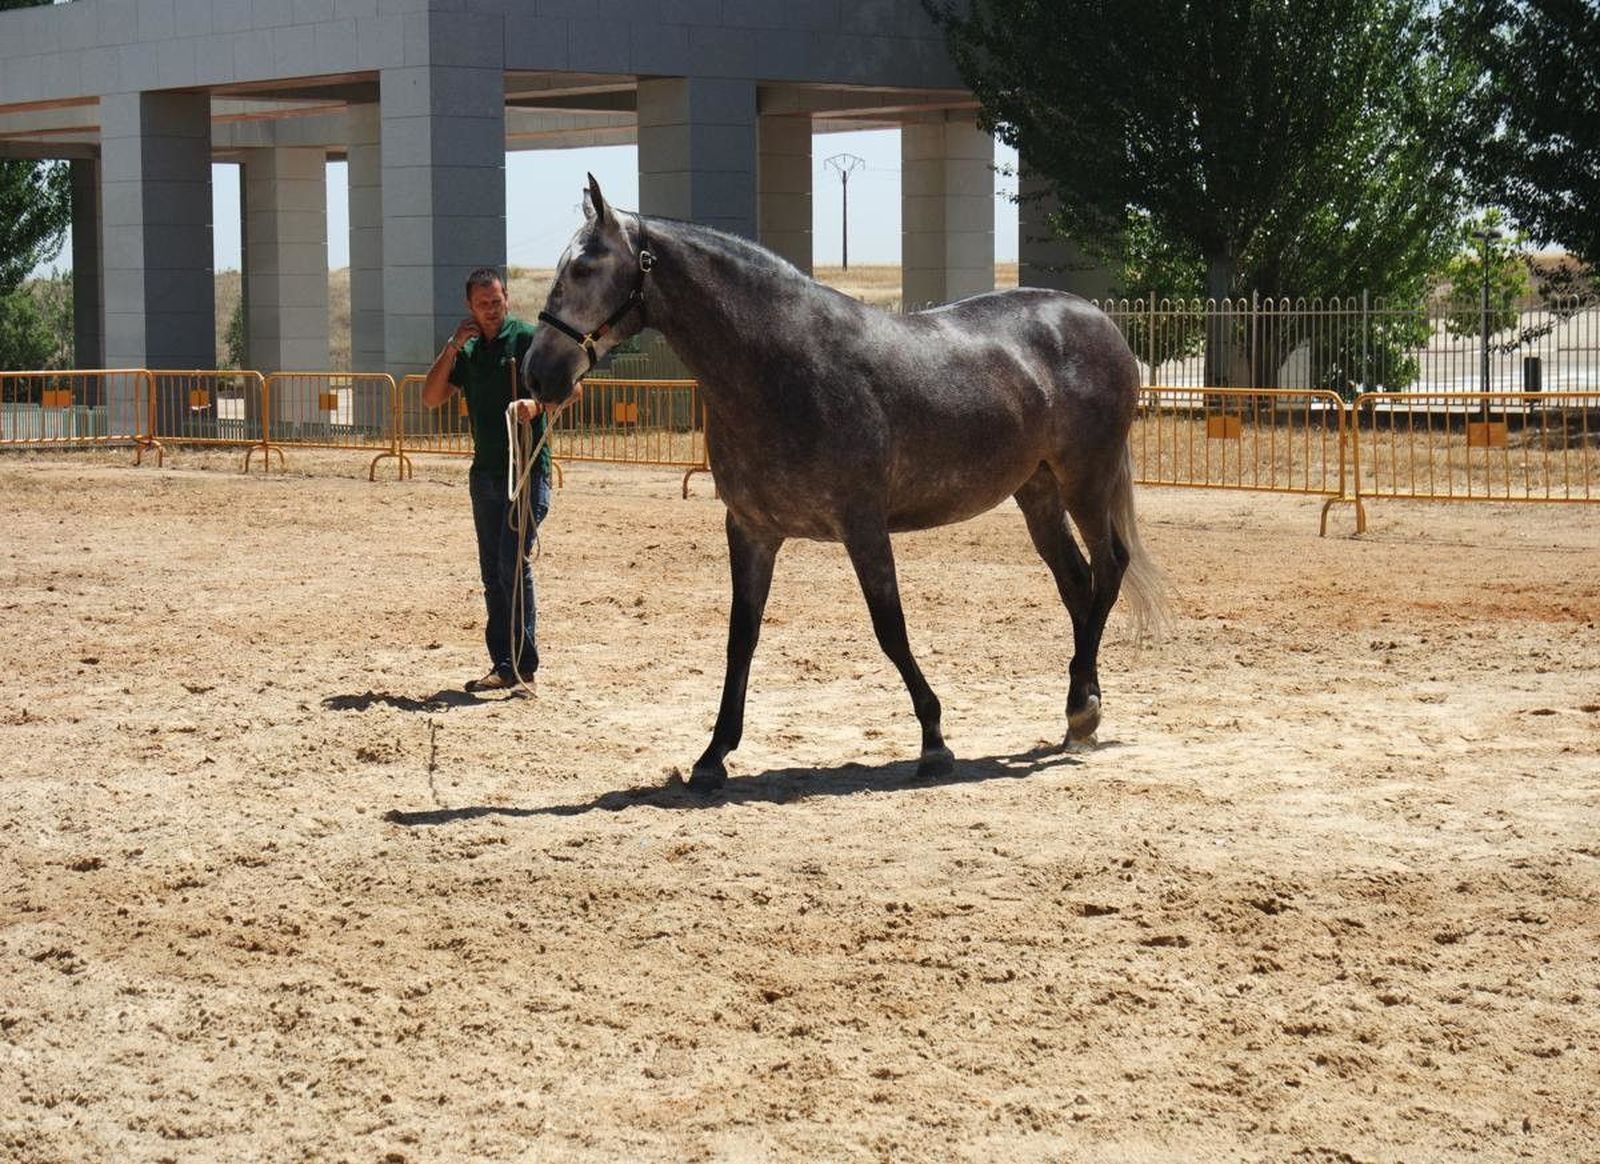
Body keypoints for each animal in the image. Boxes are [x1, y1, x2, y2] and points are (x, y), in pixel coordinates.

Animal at [523, 175, 1163, 794]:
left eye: (585, 268)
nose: (538, 373)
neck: (786, 367)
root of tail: (1096, 320)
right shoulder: (751, 532)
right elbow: (741, 636)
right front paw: (713, 757)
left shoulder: (863, 527)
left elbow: (890, 628)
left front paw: (934, 743)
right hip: (1037, 492)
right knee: (1077, 584)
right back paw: (1081, 710)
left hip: (1086, 479)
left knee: (1109, 568)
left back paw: (1081, 709)